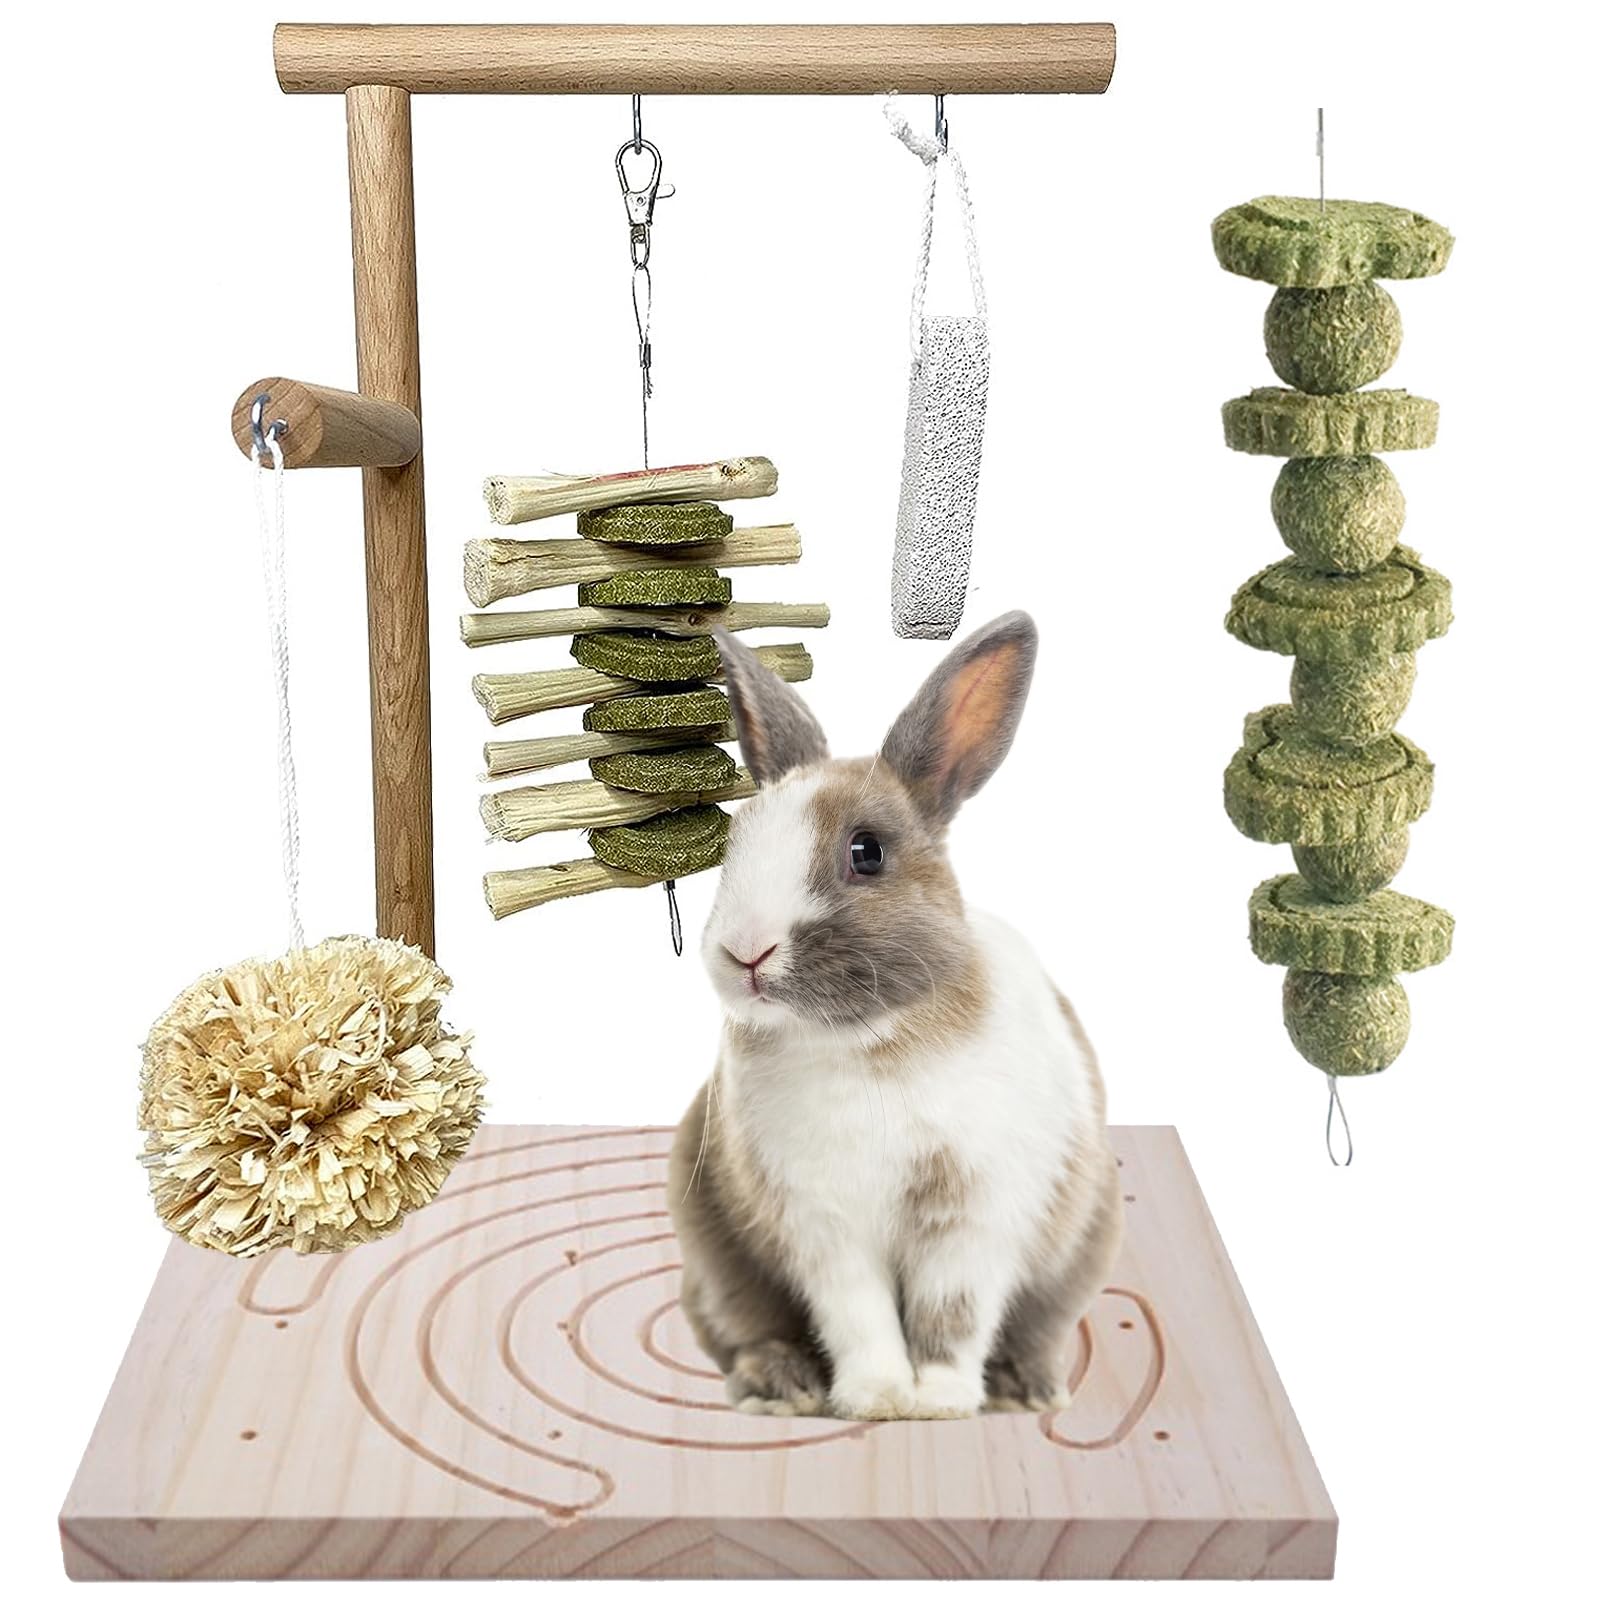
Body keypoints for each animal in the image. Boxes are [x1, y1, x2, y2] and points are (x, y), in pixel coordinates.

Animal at [668, 611, 1121, 1421]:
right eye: (734, 844)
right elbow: (860, 1316)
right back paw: (781, 1389)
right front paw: (878, 1398)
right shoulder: (823, 1227)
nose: (745, 952)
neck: (866, 1043)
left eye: (867, 852)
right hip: (713, 1261)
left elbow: (952, 1315)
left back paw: (1029, 1391)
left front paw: (938, 1400)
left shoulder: (972, 1218)